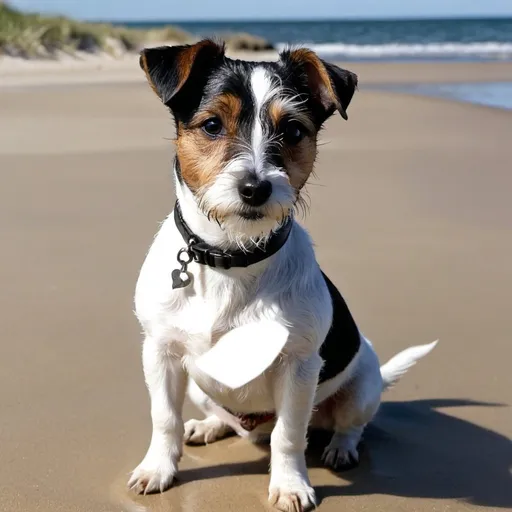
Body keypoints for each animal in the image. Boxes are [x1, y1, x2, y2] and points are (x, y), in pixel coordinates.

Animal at [128, 41, 436, 512]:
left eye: (292, 131)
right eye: (212, 125)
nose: (255, 188)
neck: (232, 258)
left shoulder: (298, 366)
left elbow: (289, 435)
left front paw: (290, 484)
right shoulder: (160, 352)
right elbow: (164, 418)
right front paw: (158, 469)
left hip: (362, 387)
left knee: (346, 425)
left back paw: (341, 448)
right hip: (199, 384)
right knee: (226, 419)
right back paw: (208, 426)